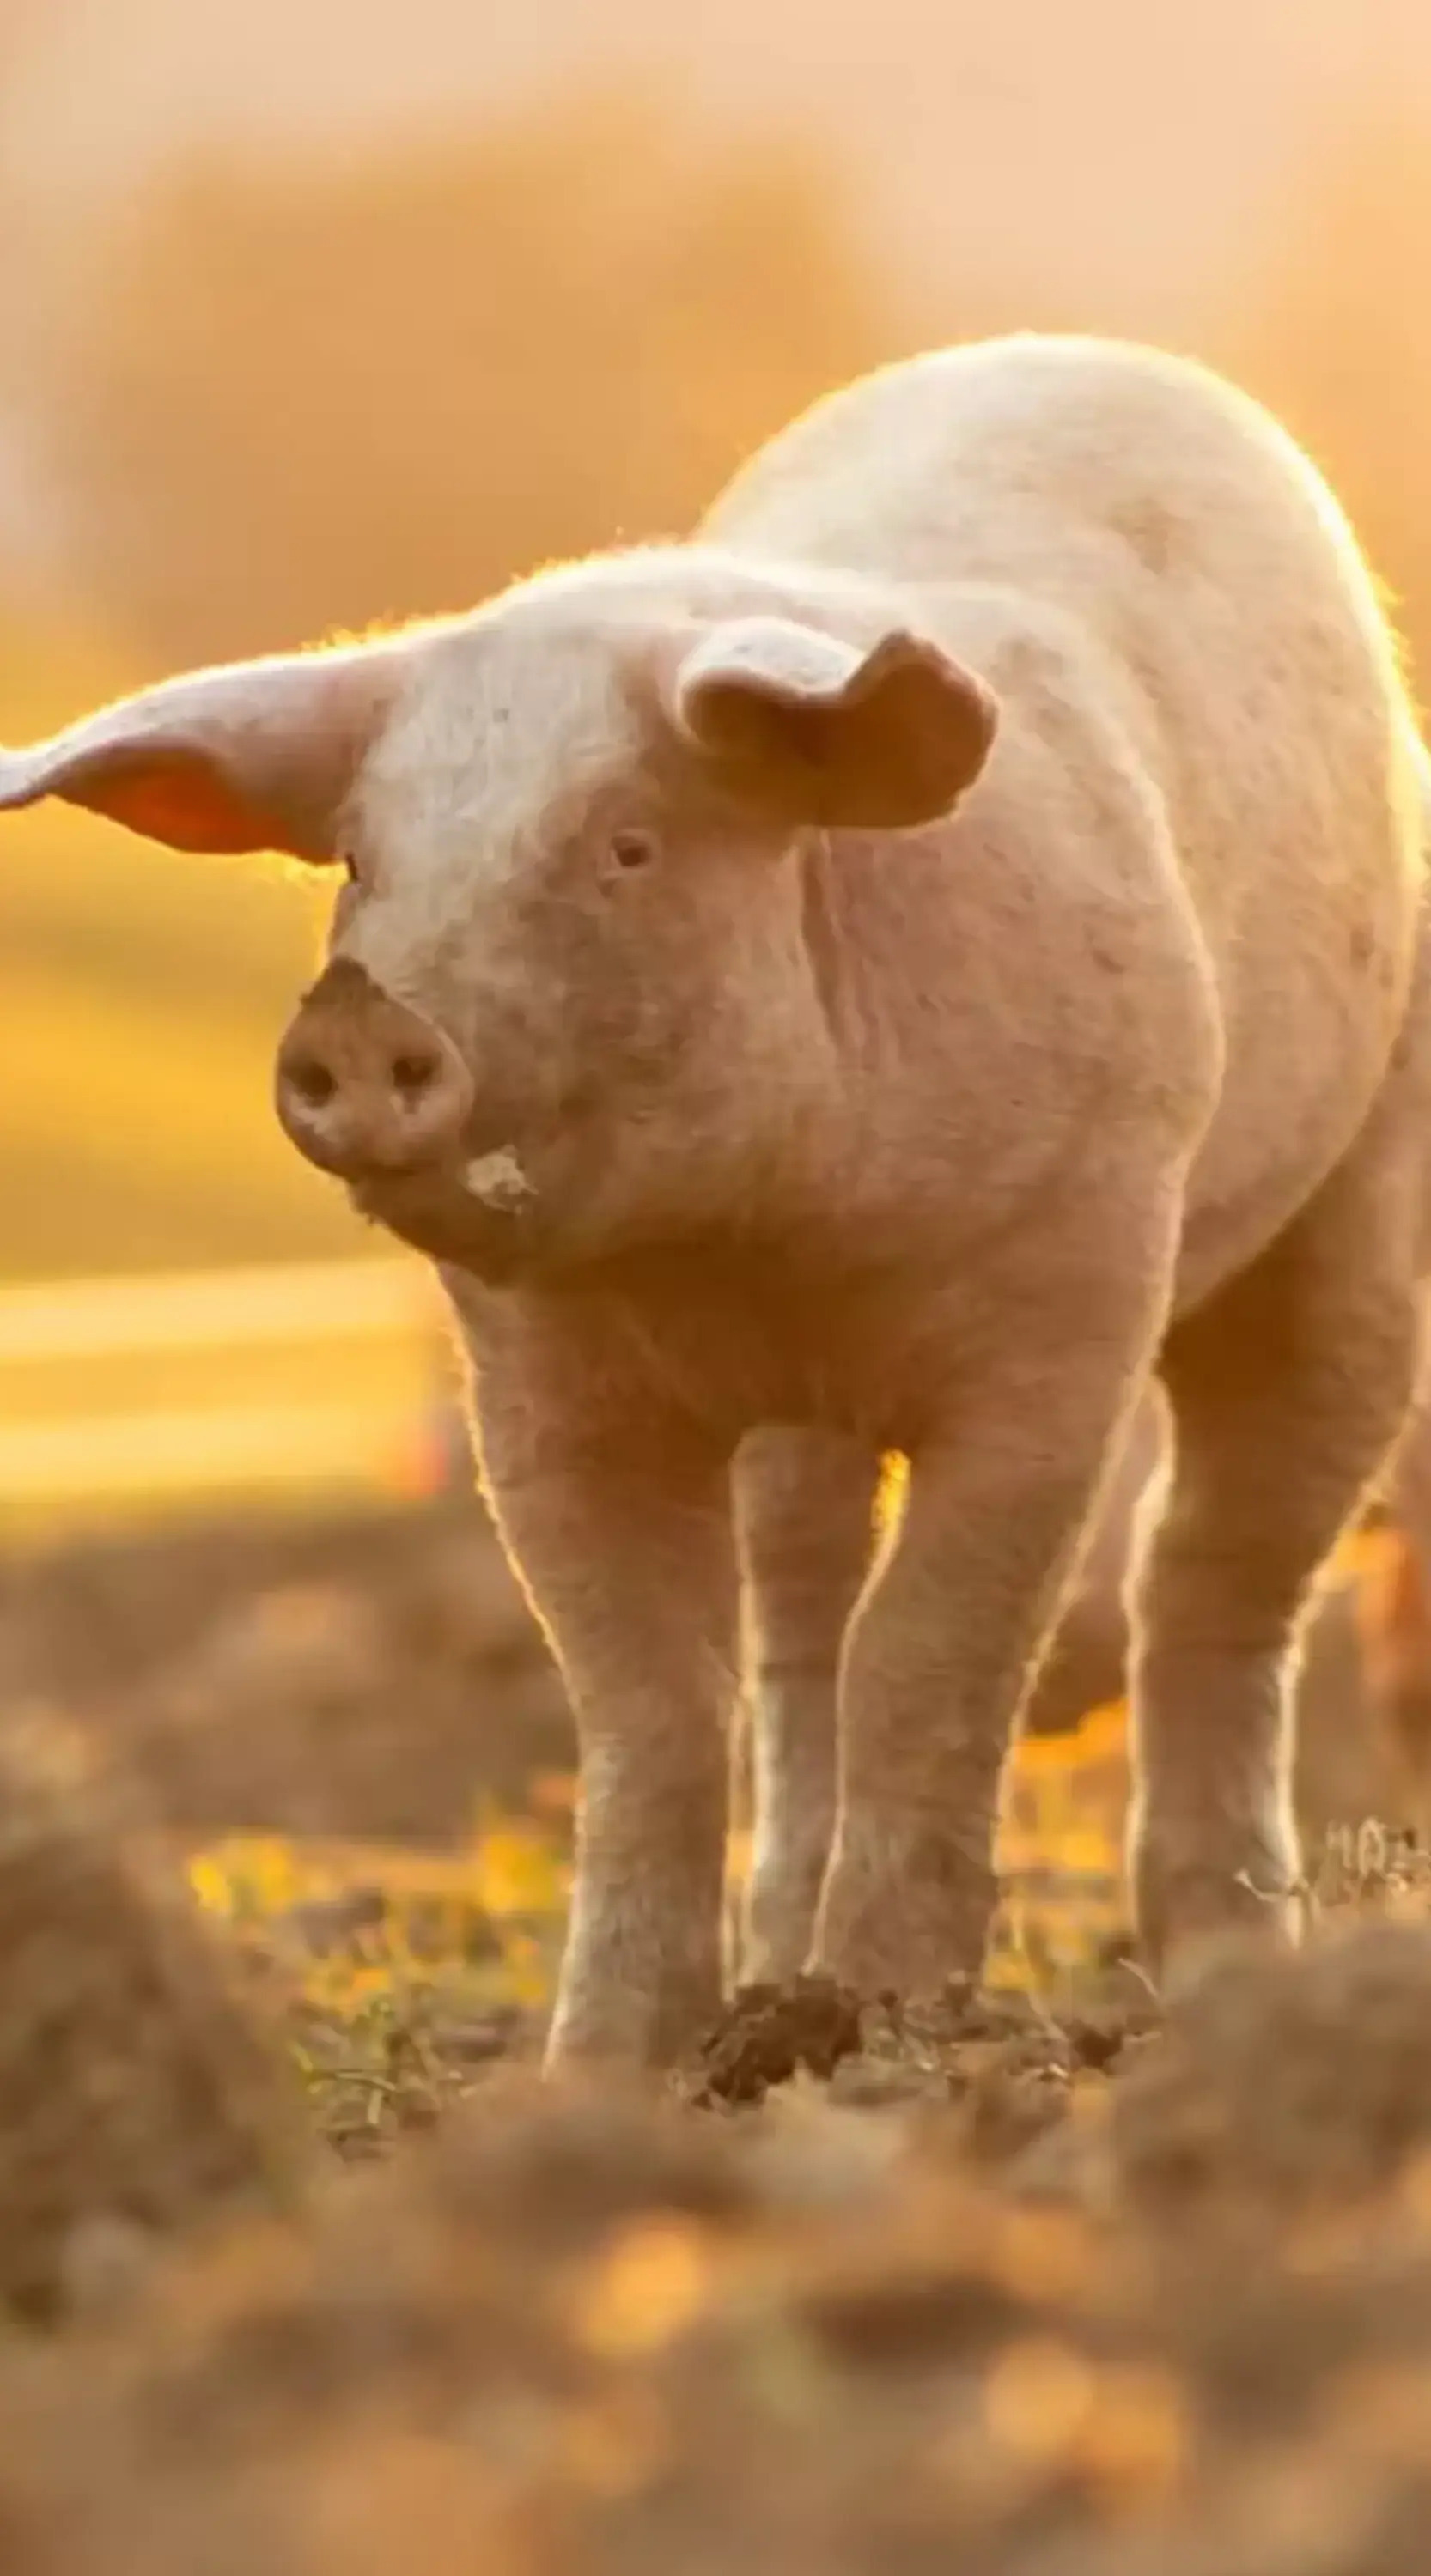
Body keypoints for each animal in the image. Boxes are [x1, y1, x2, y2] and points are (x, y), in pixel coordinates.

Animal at [5, 333, 1431, 2069]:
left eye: (628, 846)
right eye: (360, 862)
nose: (351, 1014)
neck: (757, 1247)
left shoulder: (1066, 1309)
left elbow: (932, 1657)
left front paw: (887, 2034)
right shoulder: (543, 1391)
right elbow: (651, 1703)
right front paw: (607, 2071)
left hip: (1358, 1179)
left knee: (1221, 1564)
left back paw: (1227, 1977)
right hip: (812, 1441)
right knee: (803, 1610)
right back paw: (779, 1976)